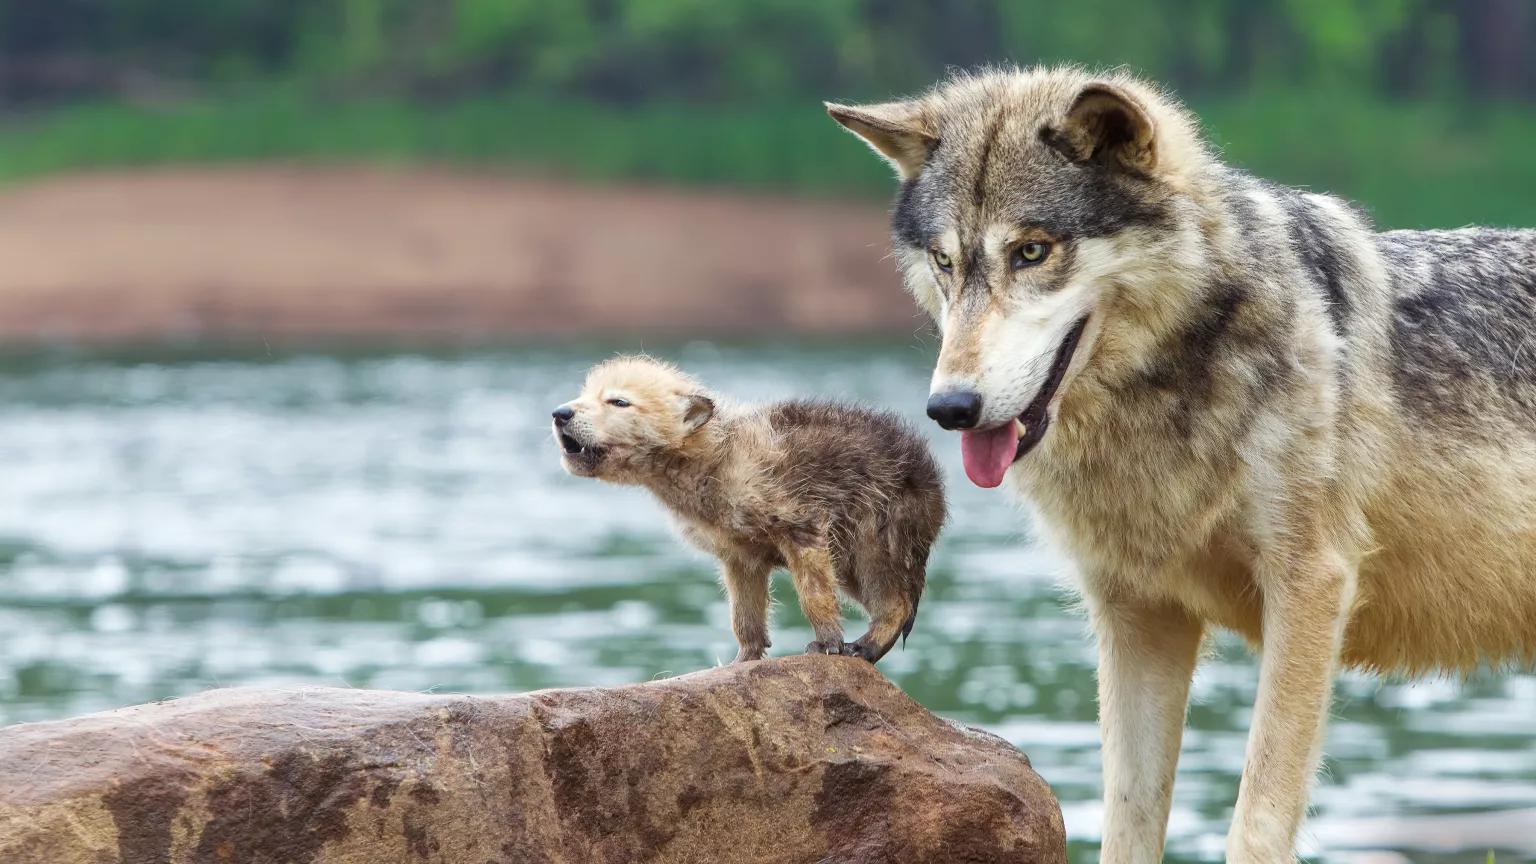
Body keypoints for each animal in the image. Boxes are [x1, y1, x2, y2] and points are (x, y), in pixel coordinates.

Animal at [835, 67, 1536, 860]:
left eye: (1032, 252)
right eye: (946, 262)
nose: (950, 406)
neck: (1167, 396)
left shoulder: (1311, 587)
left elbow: (1256, 819)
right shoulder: (1137, 615)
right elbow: (1127, 819)